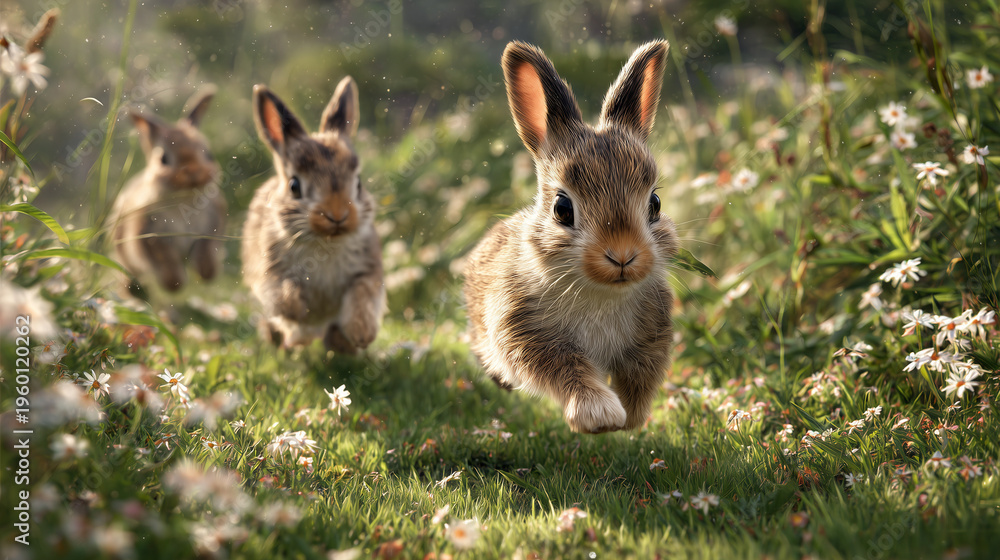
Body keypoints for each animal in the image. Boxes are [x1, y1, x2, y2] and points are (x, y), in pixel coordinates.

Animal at [109, 88, 226, 294]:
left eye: (209, 154)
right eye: (163, 159)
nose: (193, 171)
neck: (184, 199)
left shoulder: (212, 227)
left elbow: (206, 250)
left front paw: (205, 274)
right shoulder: (151, 237)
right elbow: (166, 262)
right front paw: (175, 285)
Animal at [242, 77, 385, 353]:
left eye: (358, 183)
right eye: (294, 186)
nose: (338, 215)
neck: (325, 241)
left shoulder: (368, 270)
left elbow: (362, 294)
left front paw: (361, 333)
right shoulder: (269, 273)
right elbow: (283, 295)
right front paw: (298, 310)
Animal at [463, 40, 678, 434]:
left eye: (654, 204)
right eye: (562, 209)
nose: (622, 255)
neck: (601, 292)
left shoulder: (650, 336)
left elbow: (639, 378)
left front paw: (629, 418)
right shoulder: (528, 332)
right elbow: (568, 369)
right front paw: (601, 416)